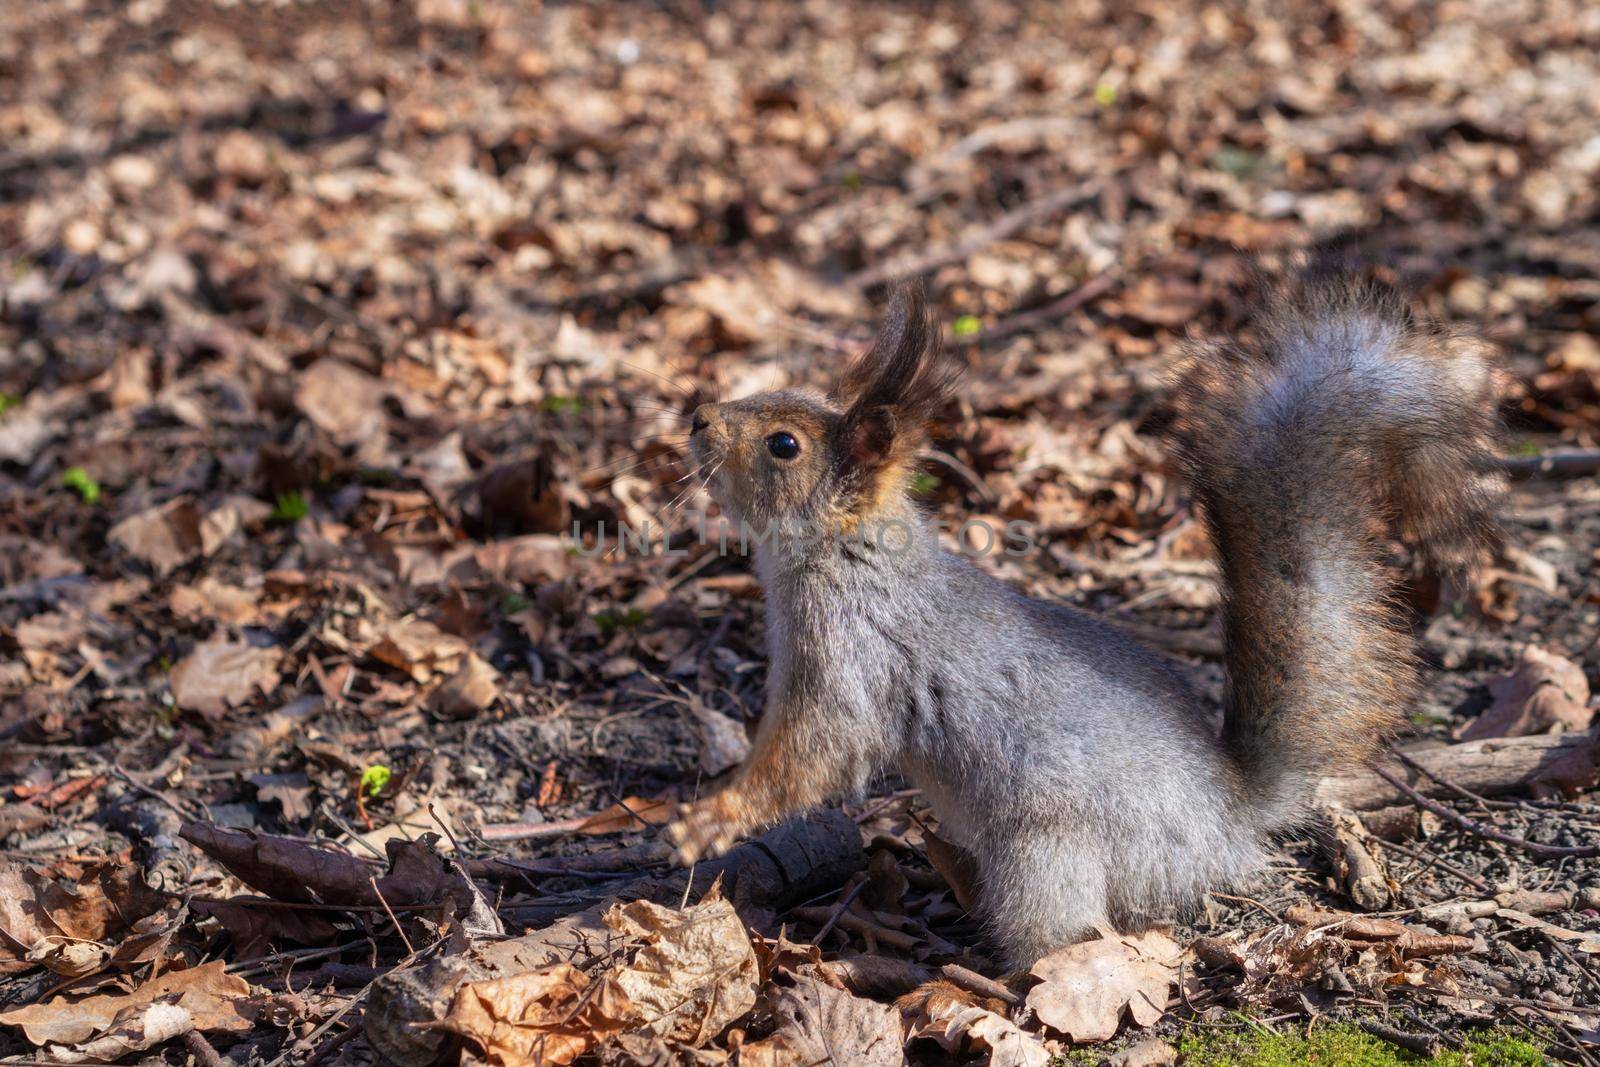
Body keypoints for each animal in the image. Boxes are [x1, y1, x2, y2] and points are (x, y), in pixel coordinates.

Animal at [659, 265, 1497, 966]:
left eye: (784, 444)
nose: (698, 417)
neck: (852, 553)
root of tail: (1227, 815)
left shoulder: (852, 656)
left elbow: (810, 757)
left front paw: (705, 819)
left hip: (1050, 848)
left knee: (1072, 932)